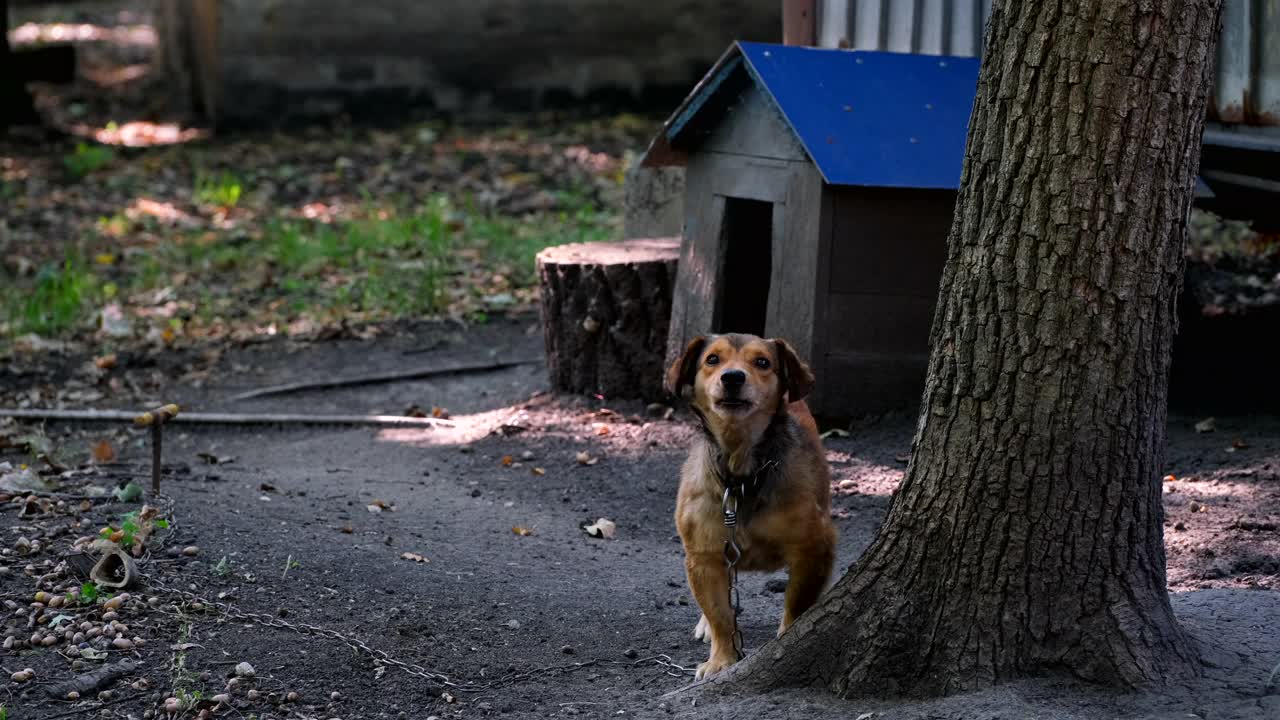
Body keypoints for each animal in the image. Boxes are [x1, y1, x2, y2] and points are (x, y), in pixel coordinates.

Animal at [665, 333, 834, 676]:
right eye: (712, 359)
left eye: (762, 362)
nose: (732, 377)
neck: (740, 473)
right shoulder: (702, 556)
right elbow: (719, 615)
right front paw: (721, 660)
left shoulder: (813, 548)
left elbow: (797, 605)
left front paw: (788, 639)